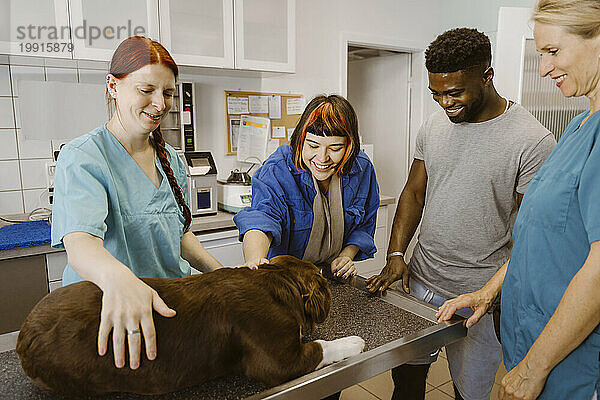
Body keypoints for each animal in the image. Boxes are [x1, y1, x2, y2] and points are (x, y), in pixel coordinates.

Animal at [16, 255, 366, 396]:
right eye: (320, 278)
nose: (326, 266)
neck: (277, 281)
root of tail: (23, 336)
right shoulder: (276, 358)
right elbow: (320, 348)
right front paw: (354, 342)